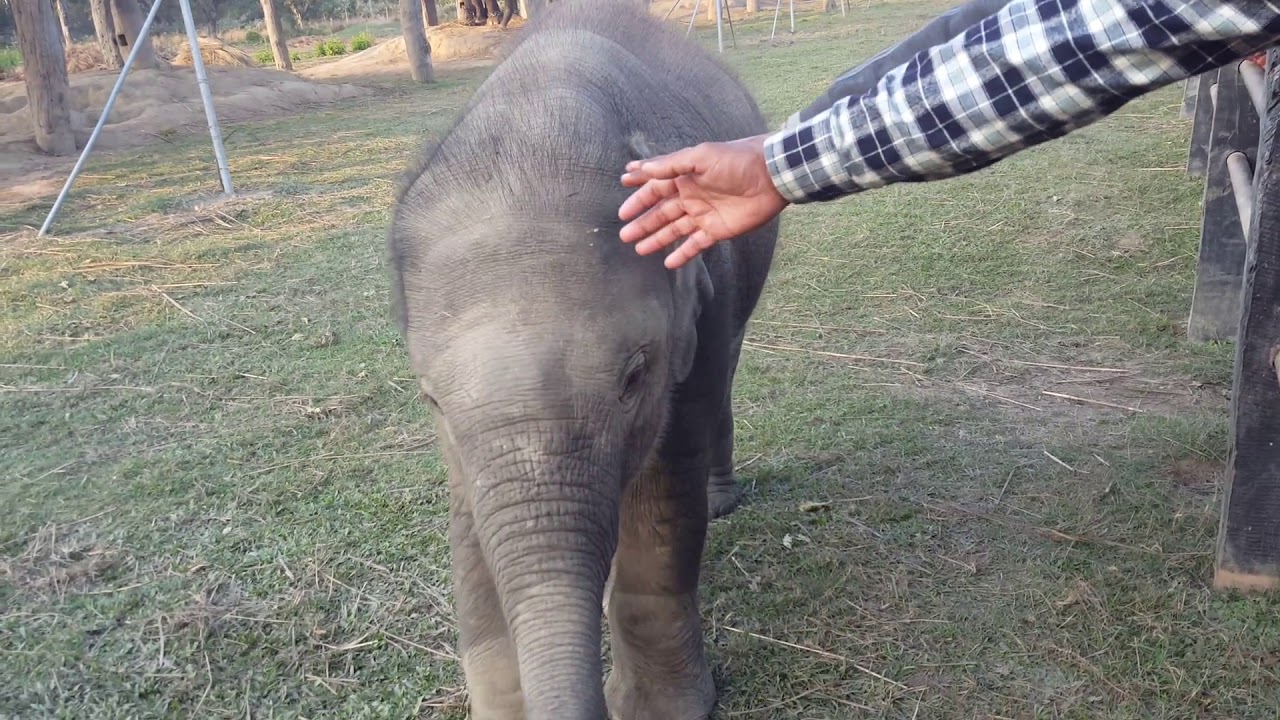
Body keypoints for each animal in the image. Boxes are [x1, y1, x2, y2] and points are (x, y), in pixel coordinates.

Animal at [386, 0, 777, 717]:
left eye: (635, 376)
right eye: (431, 399)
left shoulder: (700, 304)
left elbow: (663, 491)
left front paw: (665, 709)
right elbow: (469, 521)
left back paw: (719, 503)